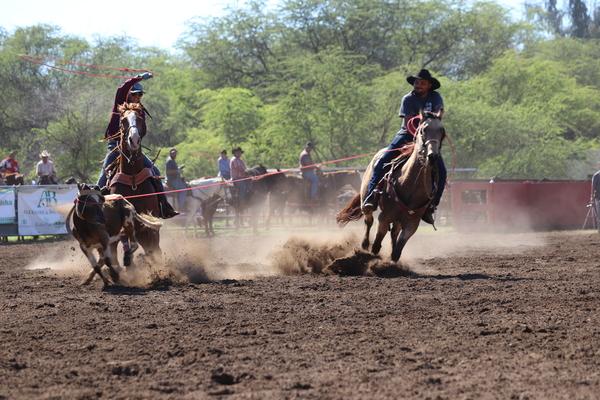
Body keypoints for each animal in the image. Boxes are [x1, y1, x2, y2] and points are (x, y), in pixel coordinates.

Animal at [338, 112, 446, 262]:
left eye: (442, 131)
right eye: (423, 130)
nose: (433, 156)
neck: (411, 184)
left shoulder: (412, 223)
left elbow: (397, 252)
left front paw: (391, 260)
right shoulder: (385, 217)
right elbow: (376, 245)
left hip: (400, 219)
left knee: (394, 232)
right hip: (367, 202)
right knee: (368, 220)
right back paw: (364, 245)